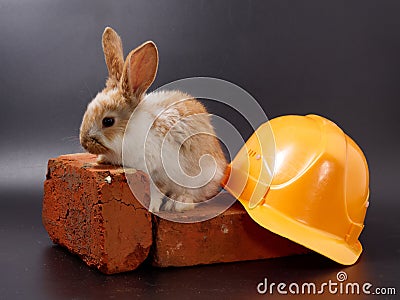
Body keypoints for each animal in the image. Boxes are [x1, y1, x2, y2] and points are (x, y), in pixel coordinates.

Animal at [79, 27, 227, 212]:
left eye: (108, 122)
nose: (84, 143)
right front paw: (101, 159)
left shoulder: (159, 171)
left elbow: (157, 191)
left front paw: (153, 208)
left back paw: (178, 203)